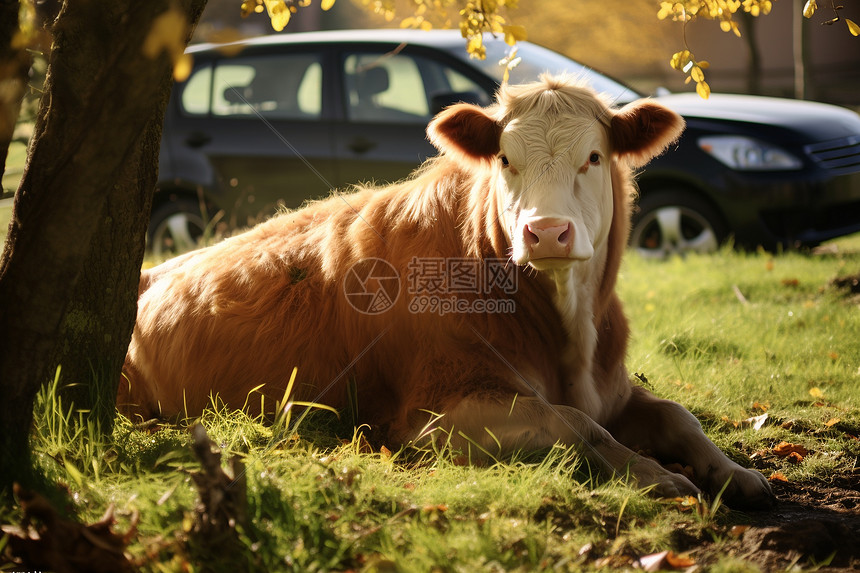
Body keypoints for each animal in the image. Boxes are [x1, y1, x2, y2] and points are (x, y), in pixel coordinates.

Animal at [119, 73, 772, 508]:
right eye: (505, 159)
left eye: (593, 156)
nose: (546, 231)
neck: (571, 340)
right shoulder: (434, 416)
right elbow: (572, 422)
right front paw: (658, 477)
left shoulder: (612, 388)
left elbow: (678, 416)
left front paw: (738, 475)